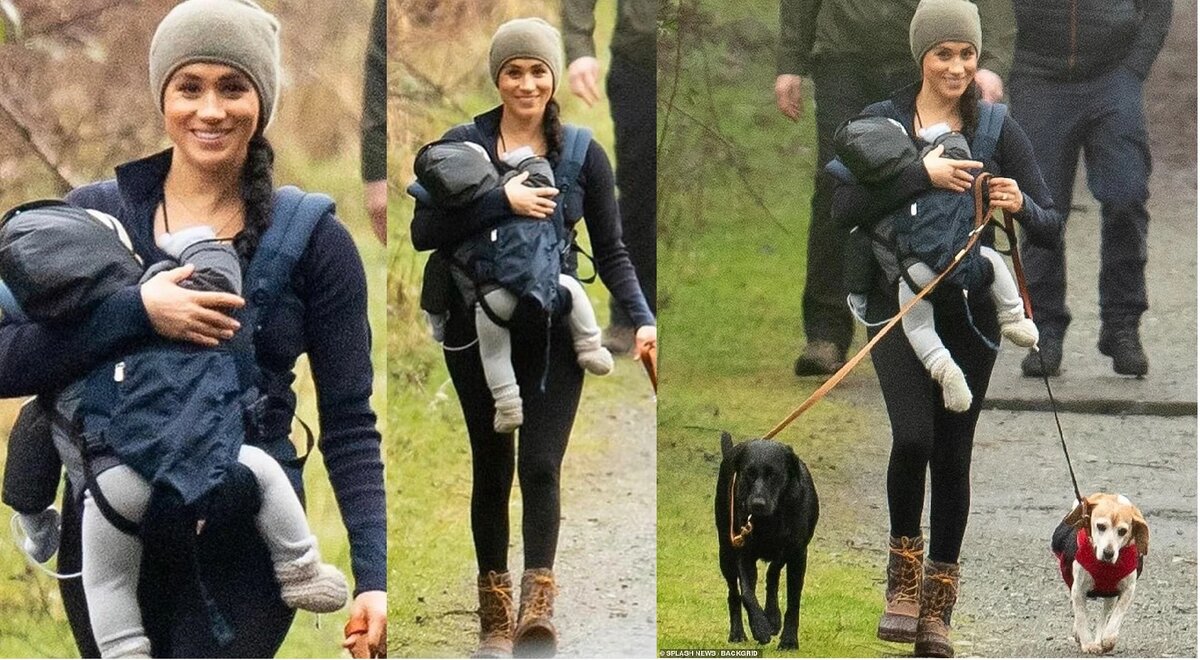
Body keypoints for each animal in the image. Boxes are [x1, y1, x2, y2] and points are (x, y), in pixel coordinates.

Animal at [715, 432, 820, 648]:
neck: (770, 519)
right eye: (748, 473)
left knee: (772, 575)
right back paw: (738, 633)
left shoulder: (797, 554)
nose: (757, 504)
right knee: (734, 593)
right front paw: (760, 627)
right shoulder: (742, 551)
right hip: (725, 552)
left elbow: (792, 599)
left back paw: (772, 616)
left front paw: (788, 639)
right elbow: (747, 593)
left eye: (774, 475)